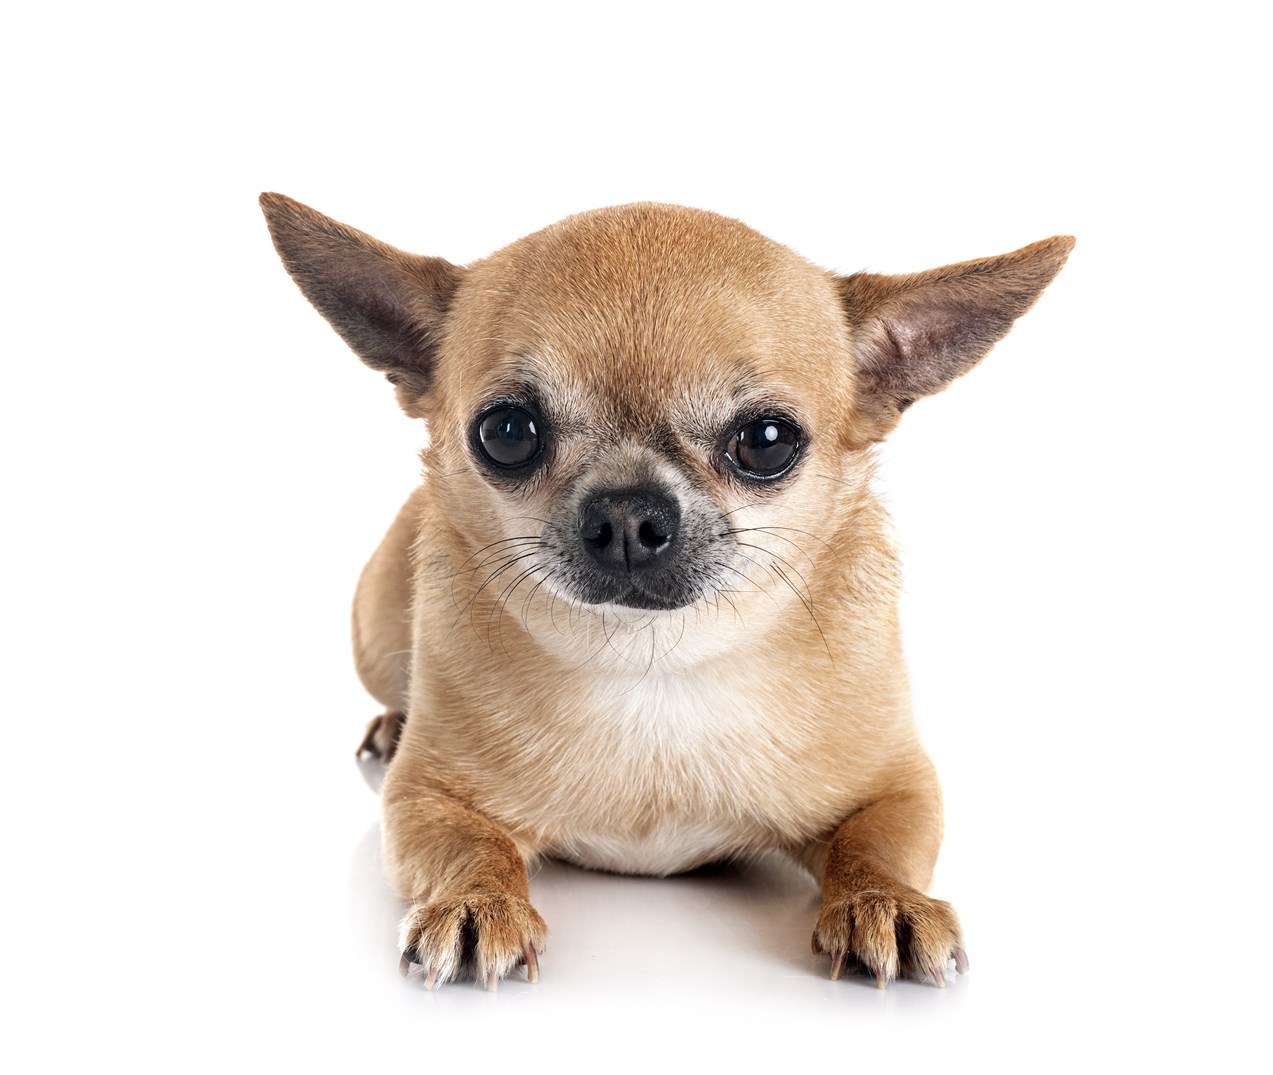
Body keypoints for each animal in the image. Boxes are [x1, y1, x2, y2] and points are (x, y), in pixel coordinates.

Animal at [255, 193, 1064, 993]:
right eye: (507, 431)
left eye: (767, 441)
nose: (626, 515)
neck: (654, 665)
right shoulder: (424, 798)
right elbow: (471, 848)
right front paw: (478, 900)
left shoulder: (897, 788)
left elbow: (875, 843)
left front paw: (883, 899)